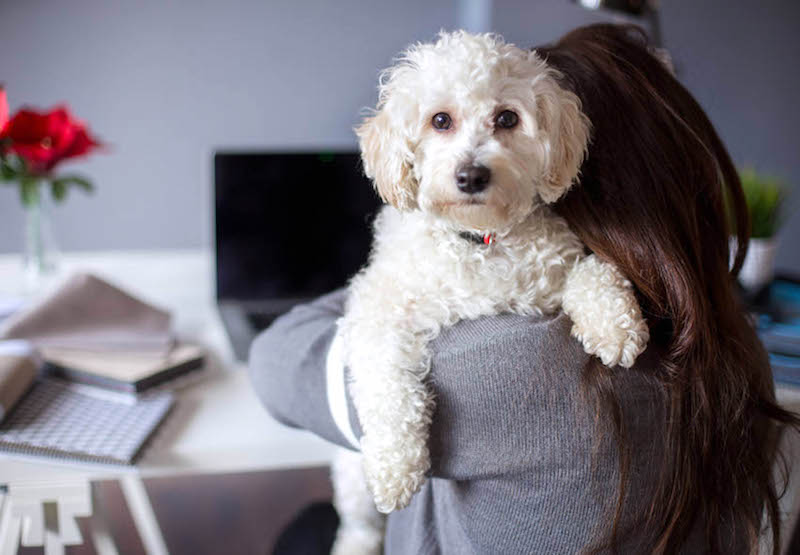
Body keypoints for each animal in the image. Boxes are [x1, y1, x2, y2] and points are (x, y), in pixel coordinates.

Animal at [330, 31, 648, 555]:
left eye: (507, 119)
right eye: (440, 120)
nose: (472, 175)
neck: (478, 240)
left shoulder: (555, 268)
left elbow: (594, 272)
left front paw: (614, 327)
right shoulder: (377, 311)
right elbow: (389, 389)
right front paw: (396, 465)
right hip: (351, 480)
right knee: (358, 522)